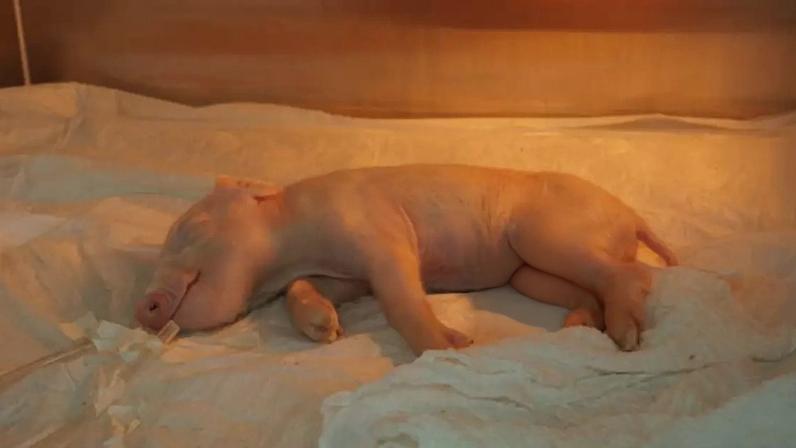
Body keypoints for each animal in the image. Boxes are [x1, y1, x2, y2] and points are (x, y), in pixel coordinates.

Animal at [135, 165, 677, 355]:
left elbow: (400, 296)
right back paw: (581, 325)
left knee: (634, 273)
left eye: (188, 230)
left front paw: (452, 347)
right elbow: (306, 289)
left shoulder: (382, 235)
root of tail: (632, 216)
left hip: (543, 231)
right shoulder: (343, 274)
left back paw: (627, 335)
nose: (142, 308)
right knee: (585, 285)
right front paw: (324, 329)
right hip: (530, 271)